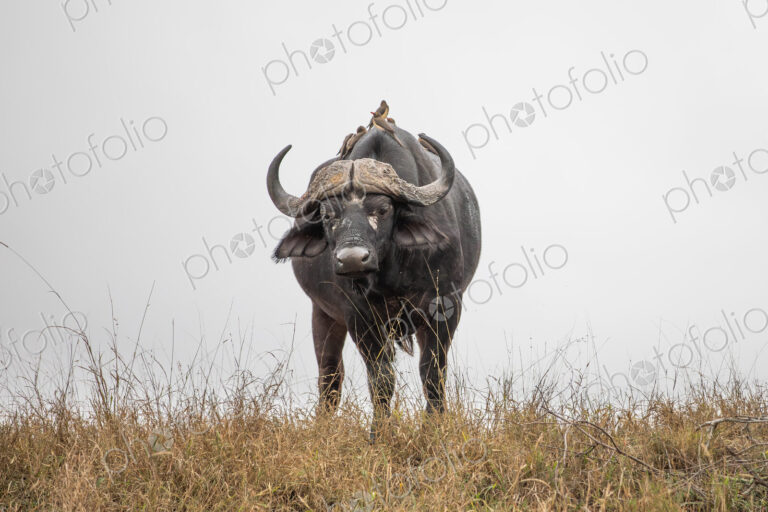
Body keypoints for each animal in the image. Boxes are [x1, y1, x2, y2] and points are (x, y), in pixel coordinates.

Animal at [267, 113, 481, 438]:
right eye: (327, 215)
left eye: (382, 209)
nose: (352, 259)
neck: (392, 270)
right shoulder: (358, 315)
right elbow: (380, 376)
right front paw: (379, 433)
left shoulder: (444, 306)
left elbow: (432, 370)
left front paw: (434, 426)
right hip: (323, 313)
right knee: (330, 375)